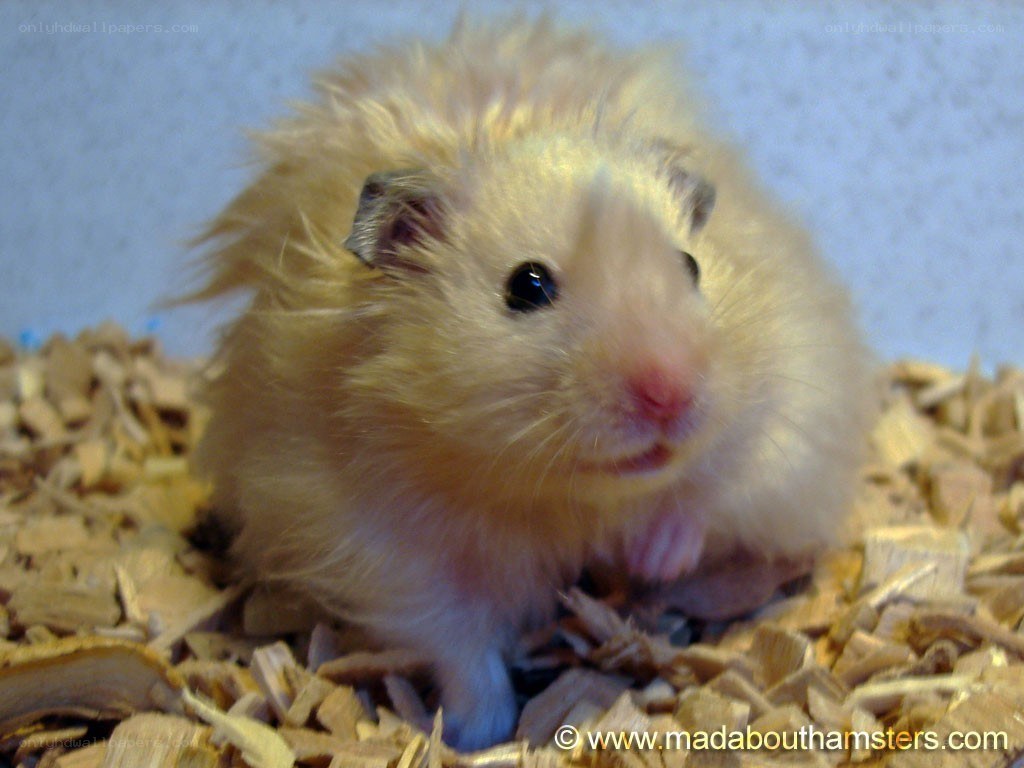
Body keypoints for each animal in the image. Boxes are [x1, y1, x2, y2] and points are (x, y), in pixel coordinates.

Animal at [192, 17, 873, 750]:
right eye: (527, 286)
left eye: (691, 267)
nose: (669, 393)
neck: (562, 496)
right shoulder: (371, 535)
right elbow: (456, 639)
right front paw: (478, 732)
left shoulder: (796, 403)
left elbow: (714, 484)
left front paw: (655, 557)